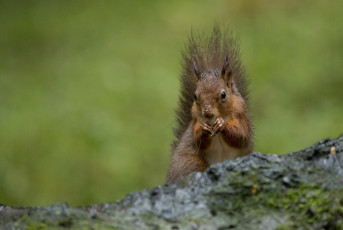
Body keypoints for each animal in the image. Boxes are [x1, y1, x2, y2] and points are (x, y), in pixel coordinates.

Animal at [168, 26, 254, 182]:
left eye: (223, 94)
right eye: (195, 96)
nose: (207, 113)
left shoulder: (242, 116)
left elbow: (241, 135)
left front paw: (222, 124)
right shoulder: (195, 119)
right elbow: (197, 140)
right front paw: (203, 129)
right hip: (190, 164)